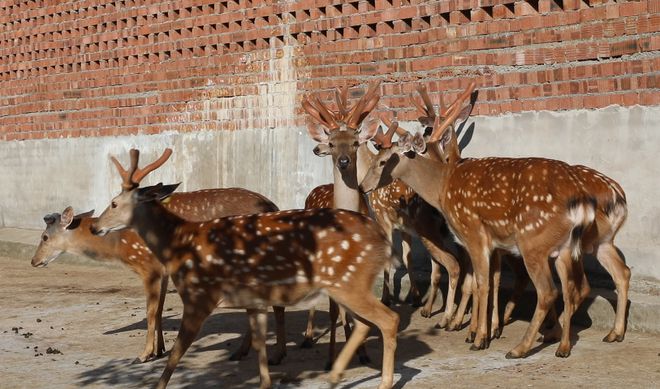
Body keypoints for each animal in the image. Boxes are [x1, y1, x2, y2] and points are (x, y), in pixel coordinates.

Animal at [87, 148, 398, 388]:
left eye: (113, 203)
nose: (94, 226)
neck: (177, 243)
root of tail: (380, 236)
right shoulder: (253, 300)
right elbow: (259, 344)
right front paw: (265, 379)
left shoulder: (199, 295)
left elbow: (176, 353)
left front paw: (152, 366)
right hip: (345, 284)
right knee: (364, 323)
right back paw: (335, 373)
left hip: (348, 282)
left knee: (388, 319)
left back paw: (381, 381)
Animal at [360, 85, 600, 358]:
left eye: (383, 161)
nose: (363, 186)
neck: (441, 187)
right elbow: (483, 282)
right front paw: (480, 331)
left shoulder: (473, 233)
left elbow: (481, 284)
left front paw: (478, 337)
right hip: (565, 247)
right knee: (574, 288)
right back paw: (562, 345)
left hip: (533, 242)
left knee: (548, 291)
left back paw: (520, 348)